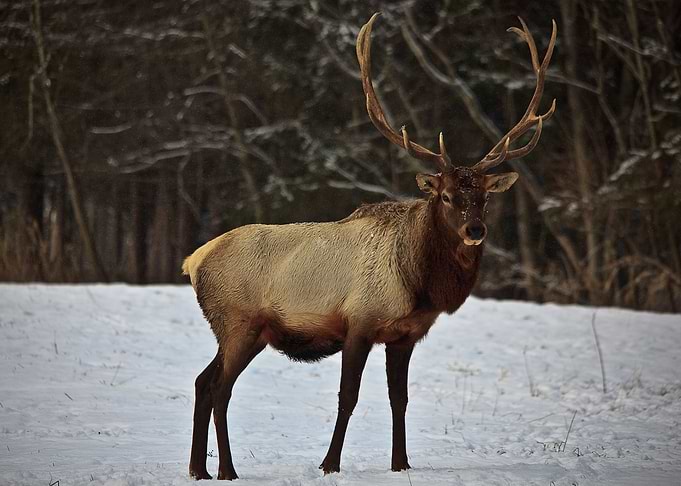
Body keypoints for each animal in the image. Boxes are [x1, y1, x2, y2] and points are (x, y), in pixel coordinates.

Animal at [183, 13, 556, 480]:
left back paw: (198, 469)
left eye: (485, 196)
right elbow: (348, 396)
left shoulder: (405, 335)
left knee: (202, 381)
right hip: (238, 321)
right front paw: (329, 464)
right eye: (446, 195)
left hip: (247, 331)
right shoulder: (359, 321)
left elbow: (401, 399)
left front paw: (401, 464)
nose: (475, 229)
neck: (418, 283)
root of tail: (193, 261)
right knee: (219, 388)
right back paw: (227, 470)